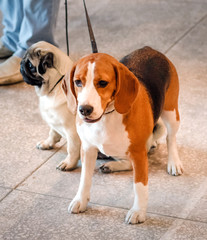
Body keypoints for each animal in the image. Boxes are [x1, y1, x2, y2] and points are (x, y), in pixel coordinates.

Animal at [62, 46, 184, 223]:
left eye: (103, 83)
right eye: (78, 82)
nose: (84, 109)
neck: (108, 115)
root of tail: (150, 49)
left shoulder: (138, 153)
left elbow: (140, 186)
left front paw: (138, 211)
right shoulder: (88, 149)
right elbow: (84, 179)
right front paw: (80, 200)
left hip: (171, 112)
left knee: (170, 138)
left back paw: (173, 162)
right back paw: (111, 165)